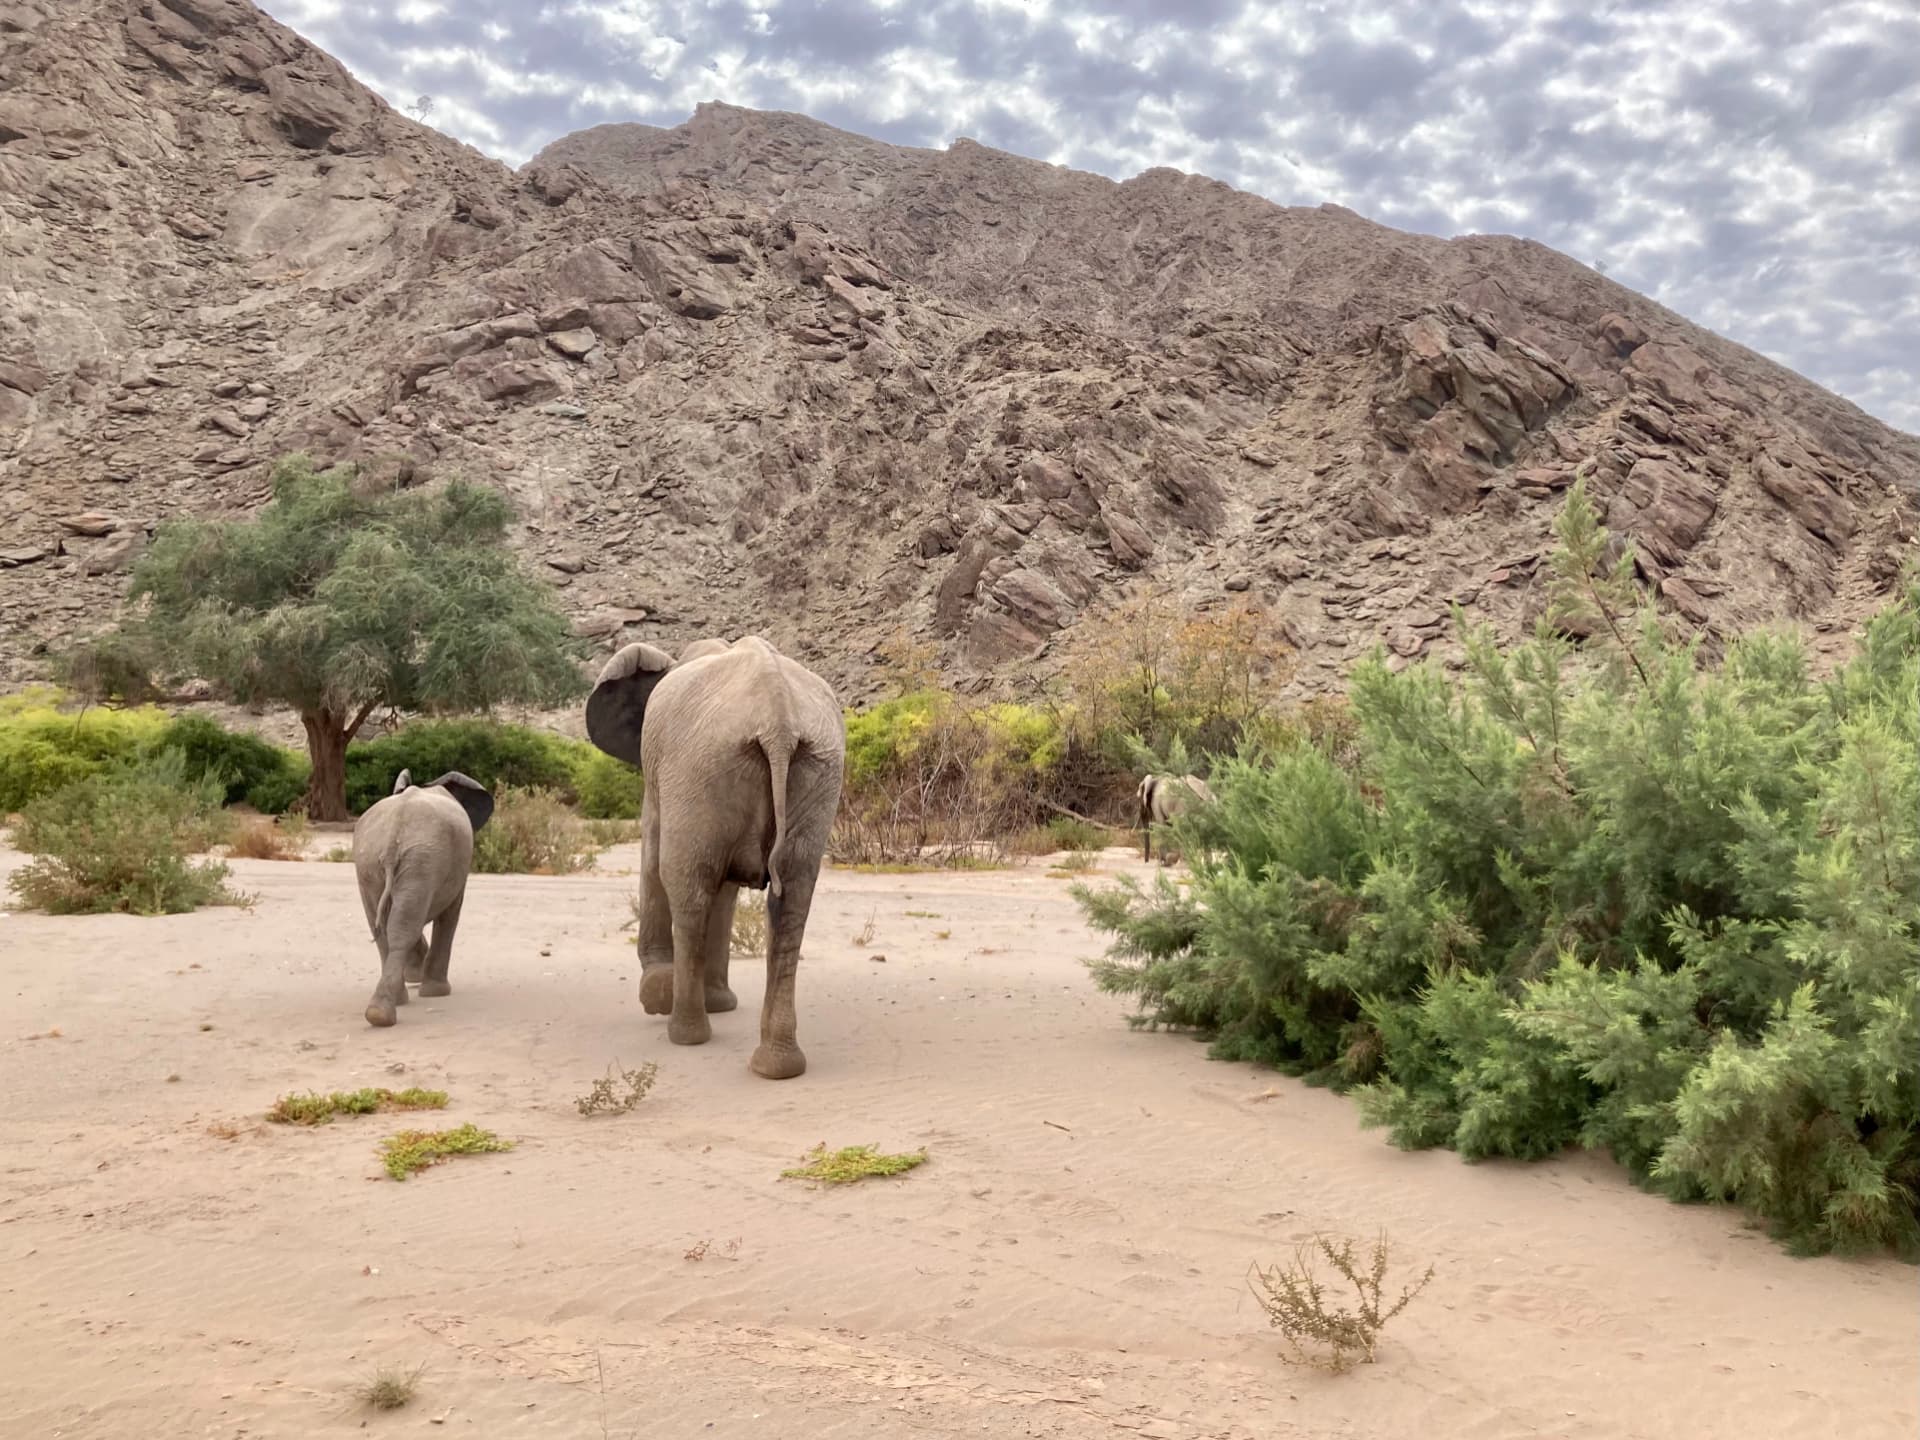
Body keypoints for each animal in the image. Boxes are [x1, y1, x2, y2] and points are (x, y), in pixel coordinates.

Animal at [352, 768, 494, 1028]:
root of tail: (393, 837)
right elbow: (450, 914)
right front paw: (437, 992)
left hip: (375, 861)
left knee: (388, 927)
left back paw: (381, 1012)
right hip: (418, 860)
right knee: (402, 926)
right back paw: (388, 1011)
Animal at [585, 634, 846, 1080]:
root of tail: (778, 719)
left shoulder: (663, 776)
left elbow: (655, 858)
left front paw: (657, 996)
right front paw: (722, 1004)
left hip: (700, 766)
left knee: (687, 888)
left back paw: (685, 1034)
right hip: (813, 769)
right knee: (792, 899)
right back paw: (777, 1067)